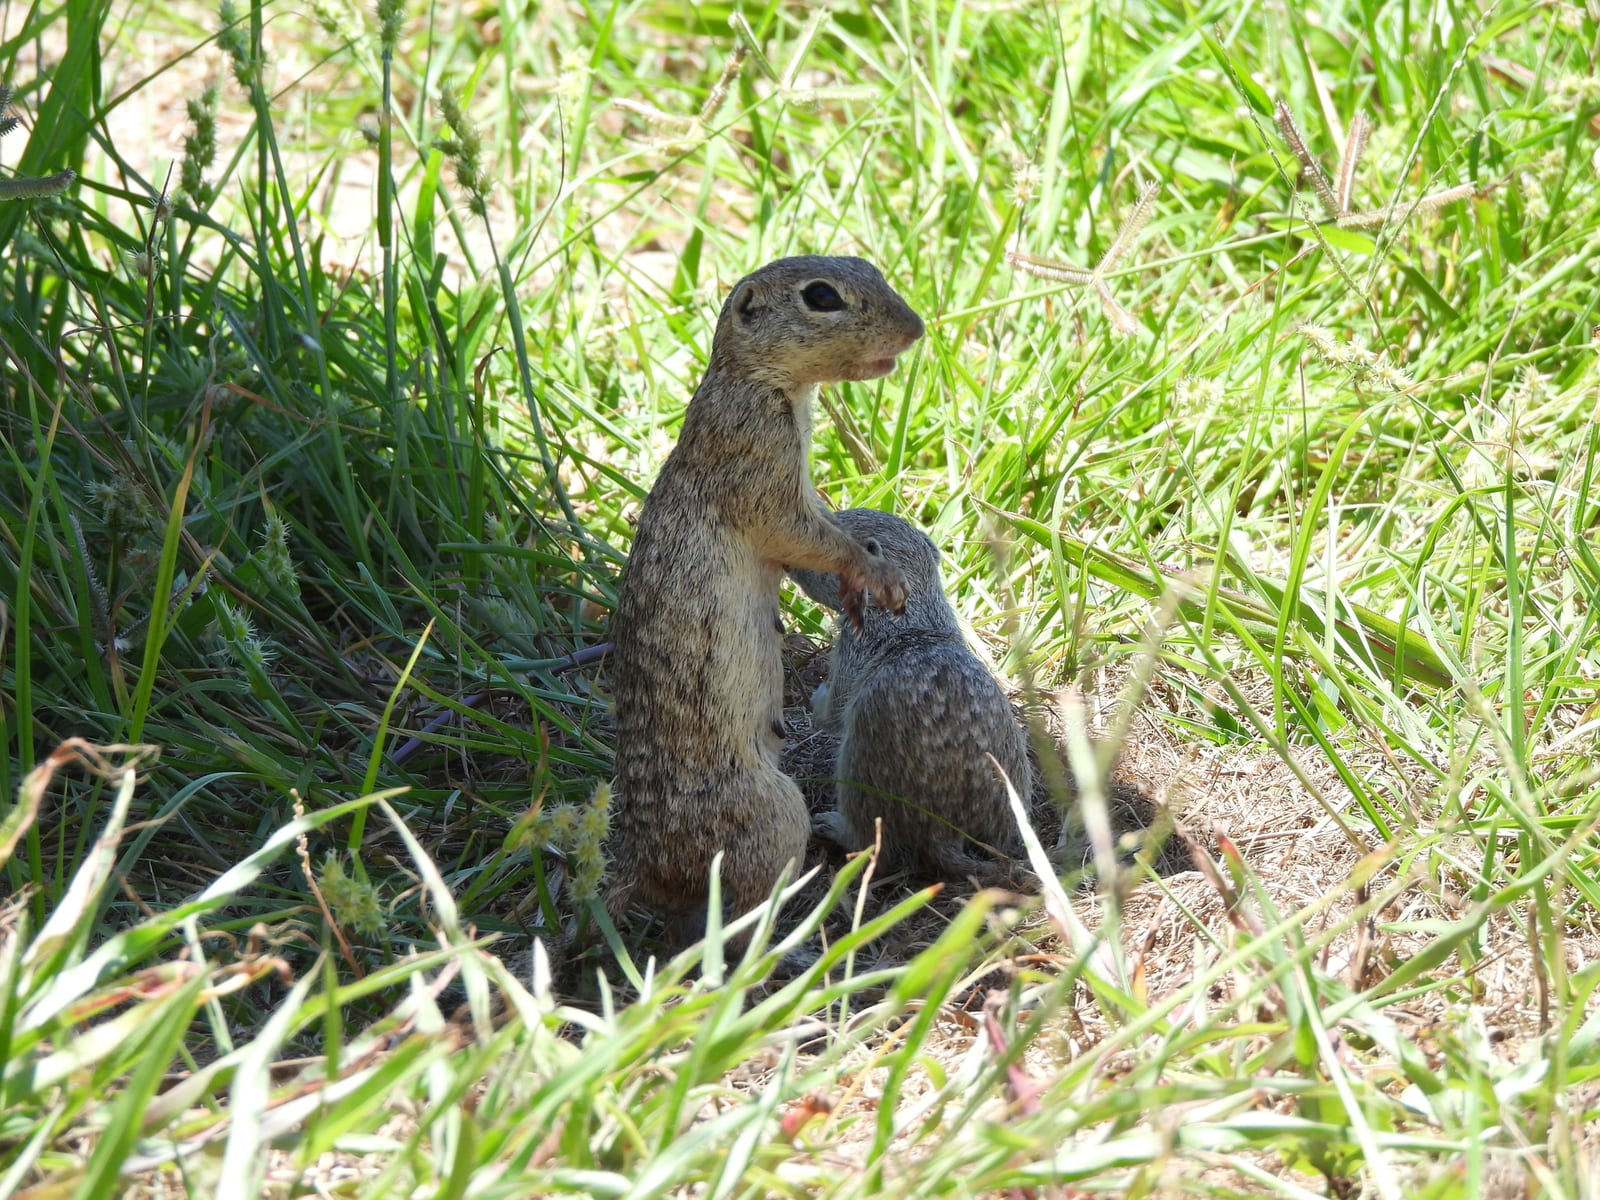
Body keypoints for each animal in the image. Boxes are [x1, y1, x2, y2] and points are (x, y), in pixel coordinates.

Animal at [605, 256, 925, 933]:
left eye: (868, 265)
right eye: (821, 296)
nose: (914, 329)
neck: (751, 380)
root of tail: (644, 867)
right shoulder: (758, 465)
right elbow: (803, 533)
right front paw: (875, 574)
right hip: (774, 813)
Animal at [788, 508, 1035, 882]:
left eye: (821, 542)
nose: (788, 563)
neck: (915, 619)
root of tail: (944, 830)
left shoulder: (851, 647)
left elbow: (833, 711)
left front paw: (817, 699)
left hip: (860, 772)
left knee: (876, 847)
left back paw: (834, 827)